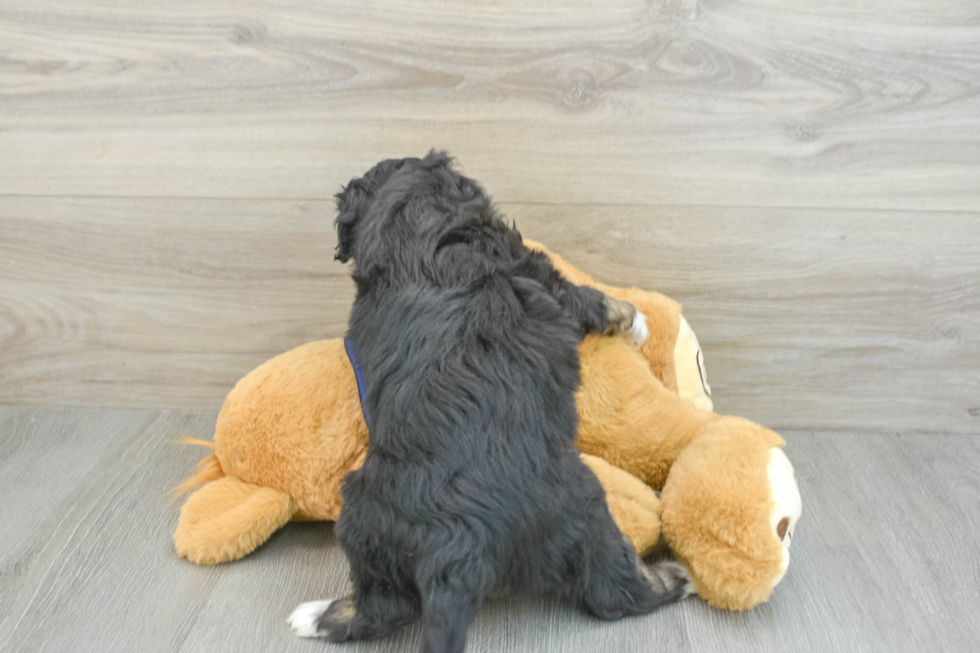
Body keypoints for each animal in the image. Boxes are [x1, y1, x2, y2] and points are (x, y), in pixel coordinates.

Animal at [288, 150, 692, 648]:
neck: (411, 225)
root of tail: (459, 543)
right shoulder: (536, 272)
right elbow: (588, 297)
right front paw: (635, 323)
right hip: (585, 513)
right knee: (614, 593)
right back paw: (675, 578)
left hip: (363, 519)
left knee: (384, 605)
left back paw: (316, 616)